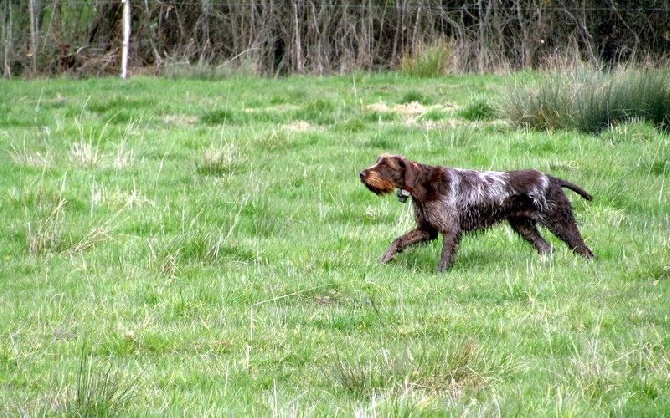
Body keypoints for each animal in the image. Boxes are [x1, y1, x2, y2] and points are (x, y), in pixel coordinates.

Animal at [360, 155, 596, 272]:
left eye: (385, 164)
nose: (362, 173)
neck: (423, 184)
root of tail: (552, 179)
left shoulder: (451, 229)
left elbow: (445, 257)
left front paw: (441, 274)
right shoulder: (426, 229)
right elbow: (398, 241)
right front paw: (385, 259)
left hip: (559, 221)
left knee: (584, 249)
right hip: (523, 226)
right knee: (546, 247)